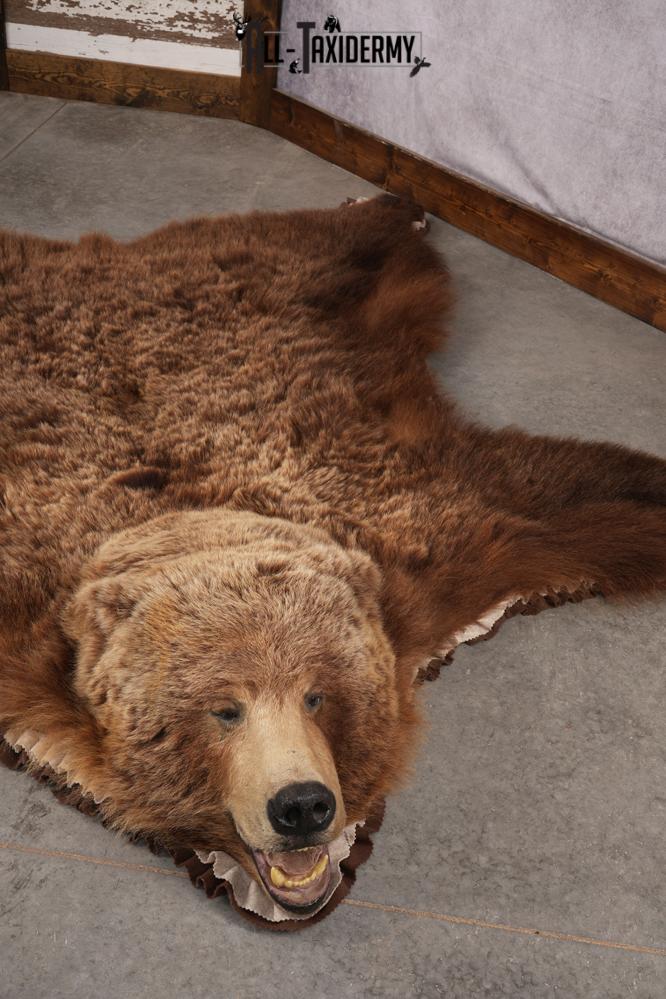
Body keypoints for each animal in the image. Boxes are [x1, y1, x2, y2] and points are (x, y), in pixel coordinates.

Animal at [1, 194, 665, 916]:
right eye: (223, 709)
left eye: (319, 695)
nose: (301, 805)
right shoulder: (27, 608)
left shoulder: (426, 532)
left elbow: (566, 493)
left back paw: (391, 202)